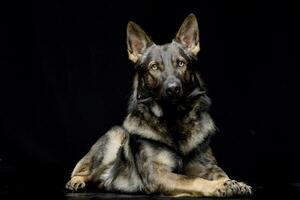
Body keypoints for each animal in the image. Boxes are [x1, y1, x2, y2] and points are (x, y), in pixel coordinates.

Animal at [66, 13, 253, 197]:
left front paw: (232, 183)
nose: (173, 89)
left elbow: (222, 175)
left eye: (181, 63)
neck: (174, 119)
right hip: (114, 137)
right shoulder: (158, 174)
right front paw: (216, 186)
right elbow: (192, 179)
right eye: (154, 67)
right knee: (82, 172)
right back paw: (76, 182)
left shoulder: (208, 166)